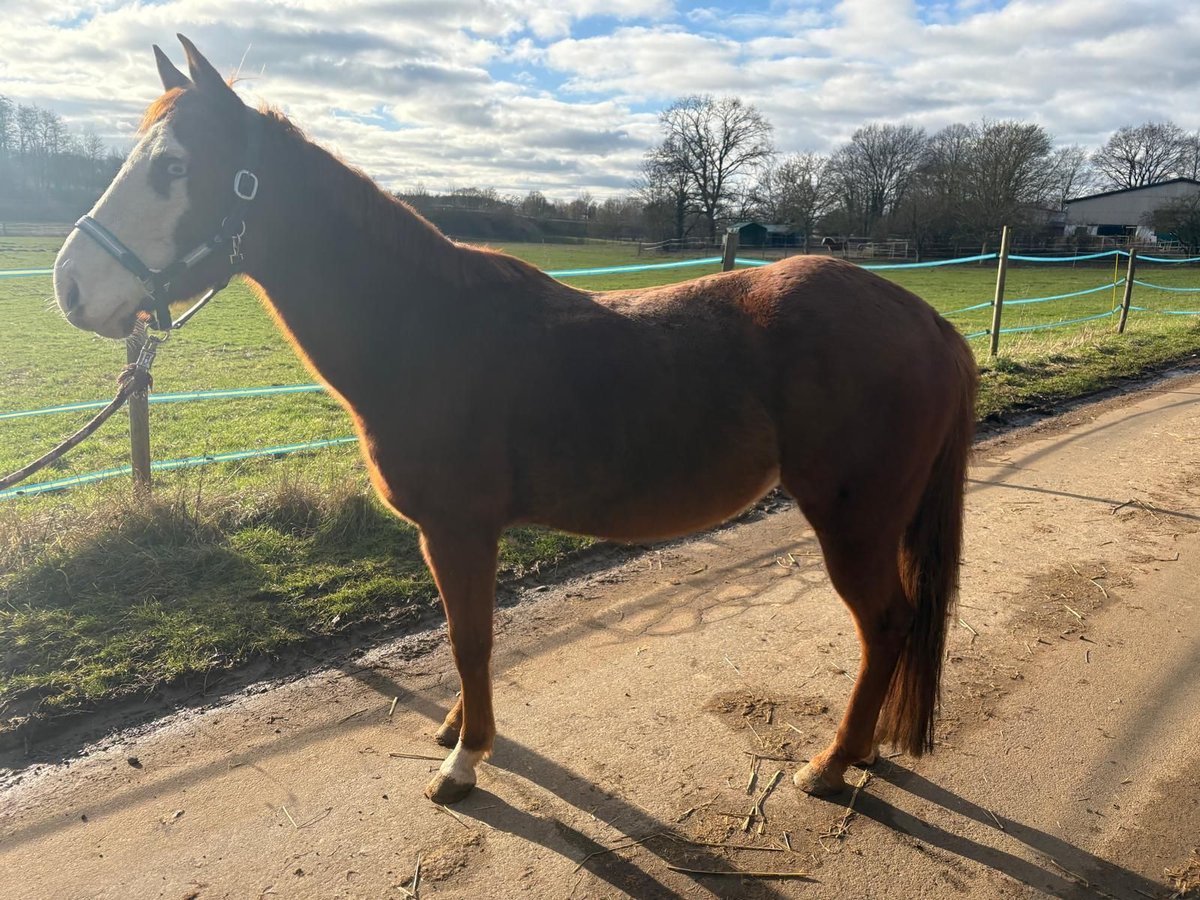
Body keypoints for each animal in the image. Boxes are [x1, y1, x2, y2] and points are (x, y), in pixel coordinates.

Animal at [53, 36, 977, 806]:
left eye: (175, 168)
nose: (69, 288)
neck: (425, 328)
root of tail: (925, 320)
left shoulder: (459, 529)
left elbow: (470, 640)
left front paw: (465, 762)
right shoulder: (450, 535)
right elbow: (463, 637)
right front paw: (458, 730)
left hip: (853, 523)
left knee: (886, 624)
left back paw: (832, 762)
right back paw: (859, 751)